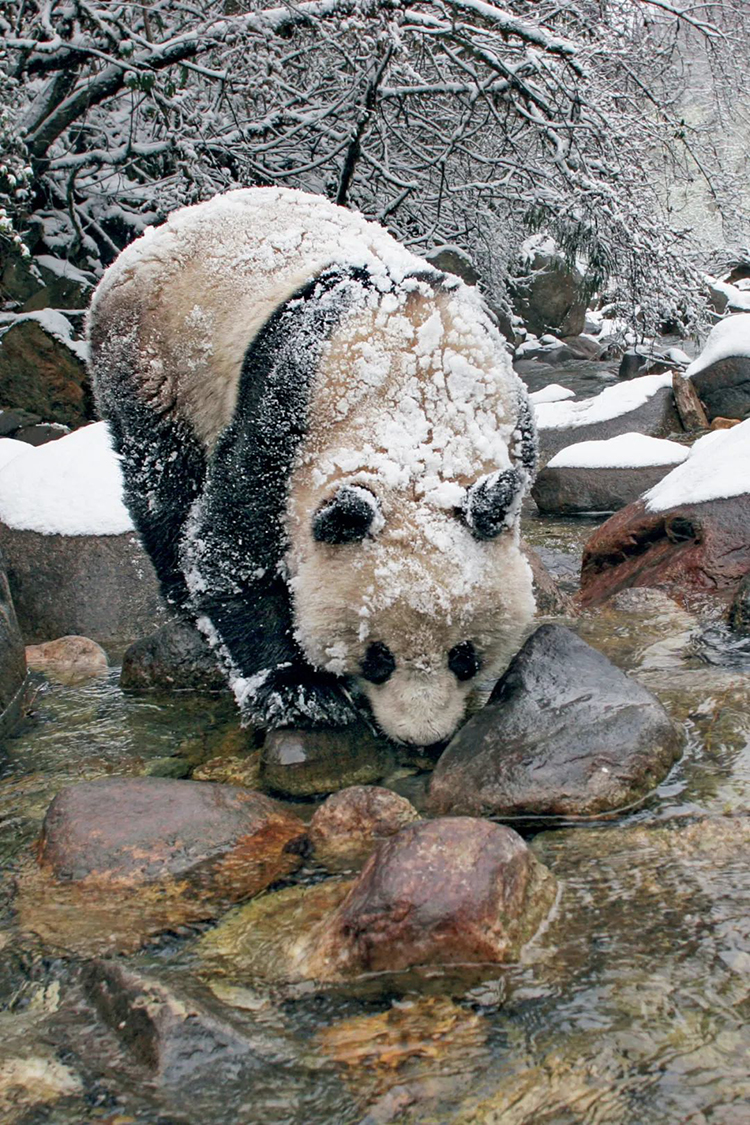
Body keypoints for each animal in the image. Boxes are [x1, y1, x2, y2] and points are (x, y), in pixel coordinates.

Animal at [88, 186, 537, 747]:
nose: (421, 738)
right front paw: (301, 693)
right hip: (149, 351)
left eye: (465, 656)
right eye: (378, 658)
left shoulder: (515, 421)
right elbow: (228, 546)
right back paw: (180, 596)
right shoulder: (285, 411)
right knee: (161, 477)